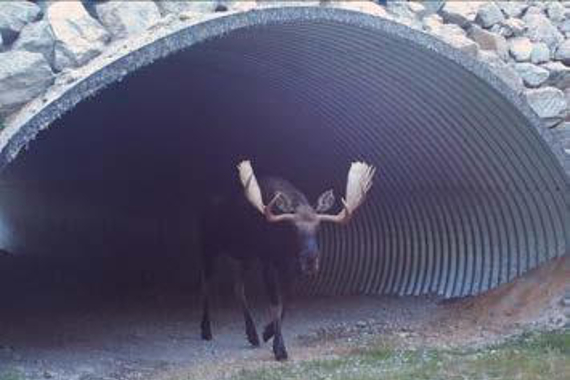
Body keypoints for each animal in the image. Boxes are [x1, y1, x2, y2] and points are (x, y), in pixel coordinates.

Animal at [197, 160, 374, 360]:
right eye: (293, 228)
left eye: (318, 227)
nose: (310, 260)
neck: (282, 243)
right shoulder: (267, 260)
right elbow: (275, 303)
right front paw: (279, 348)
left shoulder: (289, 264)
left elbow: (287, 299)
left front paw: (267, 332)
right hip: (209, 246)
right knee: (206, 283)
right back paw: (206, 329)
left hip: (245, 257)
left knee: (238, 287)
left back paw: (252, 334)